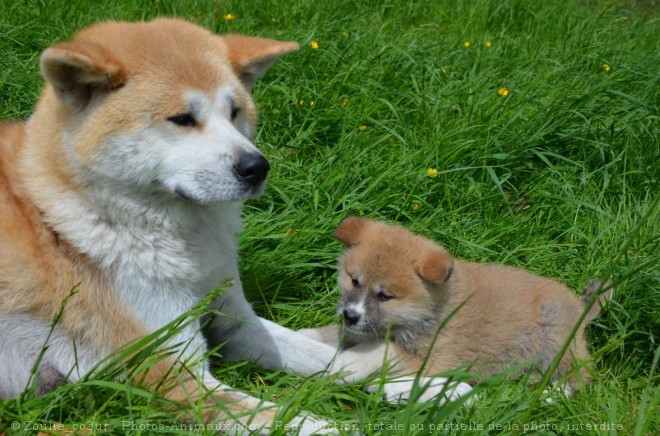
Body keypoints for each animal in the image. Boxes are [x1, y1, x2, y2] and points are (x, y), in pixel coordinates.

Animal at [304, 216, 612, 400]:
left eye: (384, 296)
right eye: (354, 280)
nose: (350, 315)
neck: (432, 312)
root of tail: (580, 308)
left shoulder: (431, 358)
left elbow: (378, 349)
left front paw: (345, 363)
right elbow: (332, 334)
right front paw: (304, 337)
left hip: (557, 341)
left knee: (582, 377)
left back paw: (551, 394)